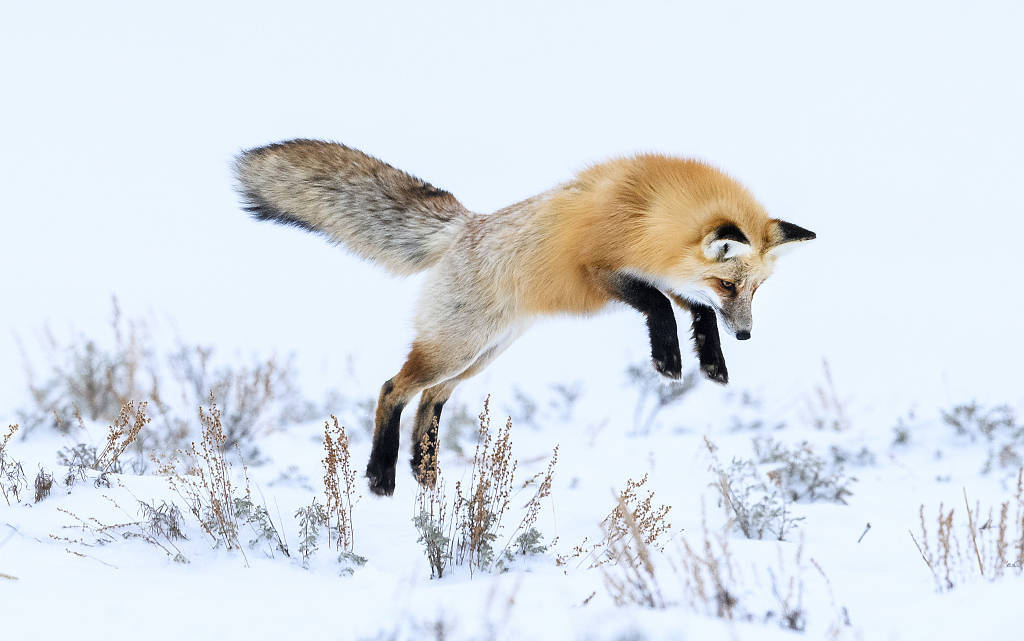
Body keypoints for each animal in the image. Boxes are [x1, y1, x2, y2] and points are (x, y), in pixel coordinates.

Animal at [232, 139, 815, 493]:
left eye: (755, 290)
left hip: (480, 356)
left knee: (430, 398)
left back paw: (425, 470)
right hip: (457, 348)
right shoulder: (597, 272)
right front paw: (670, 359)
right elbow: (659, 307)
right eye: (729, 284)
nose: (746, 335)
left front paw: (711, 359)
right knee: (392, 388)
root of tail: (465, 226)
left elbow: (693, 311)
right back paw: (382, 474)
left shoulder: (666, 273)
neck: (647, 215)